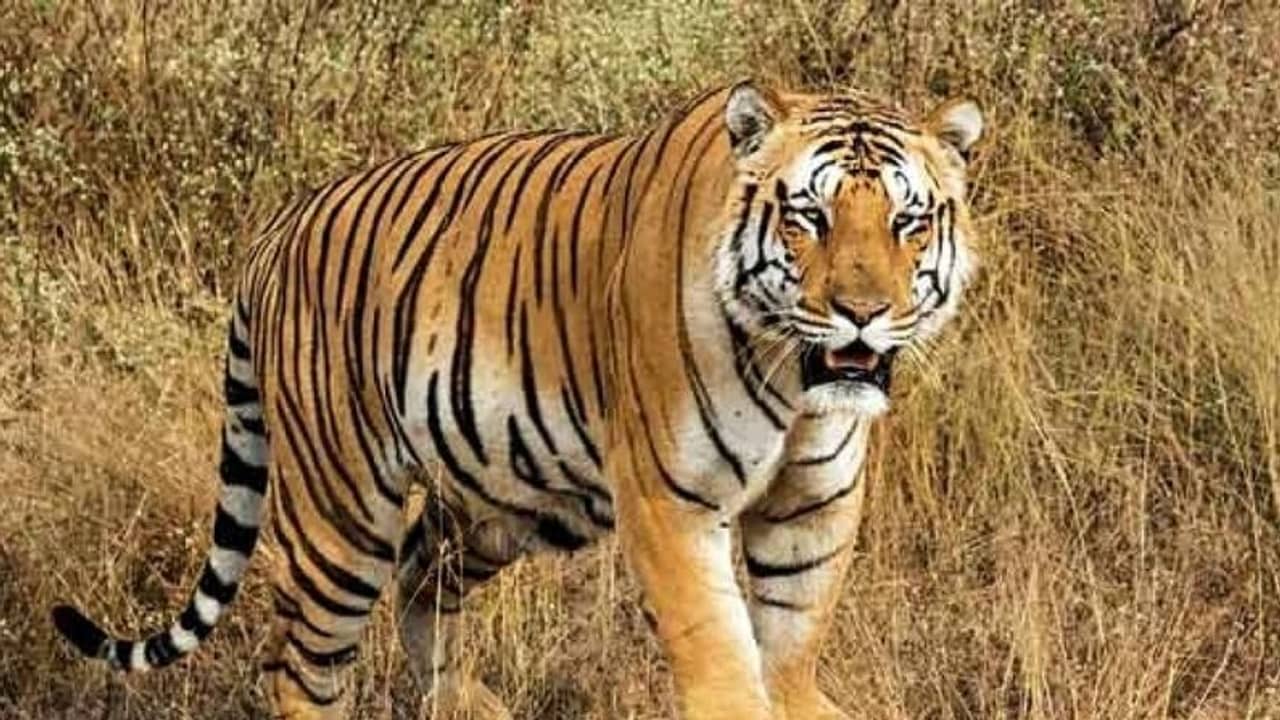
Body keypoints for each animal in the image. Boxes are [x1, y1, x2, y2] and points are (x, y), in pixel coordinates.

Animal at [51, 80, 983, 720]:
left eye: (907, 223)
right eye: (809, 218)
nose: (862, 312)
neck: (794, 381)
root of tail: (279, 227)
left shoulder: (810, 510)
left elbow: (788, 648)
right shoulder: (671, 503)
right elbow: (721, 658)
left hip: (506, 495)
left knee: (423, 579)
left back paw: (470, 705)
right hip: (341, 510)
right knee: (301, 665)